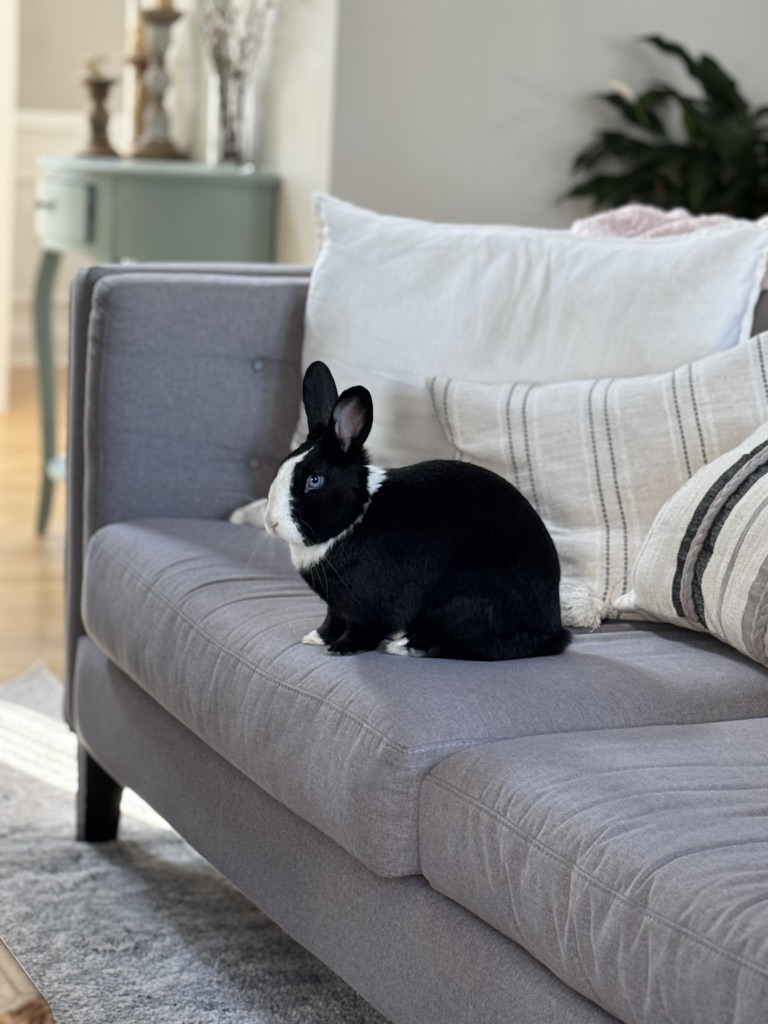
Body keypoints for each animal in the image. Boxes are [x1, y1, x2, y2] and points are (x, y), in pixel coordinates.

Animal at [262, 360, 571, 661]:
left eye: (315, 481)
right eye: (283, 465)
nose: (270, 522)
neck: (357, 515)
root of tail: (553, 630)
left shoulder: (370, 604)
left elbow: (363, 628)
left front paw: (341, 648)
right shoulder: (337, 604)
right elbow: (333, 618)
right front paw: (316, 637)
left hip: (469, 600)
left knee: (480, 646)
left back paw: (406, 646)